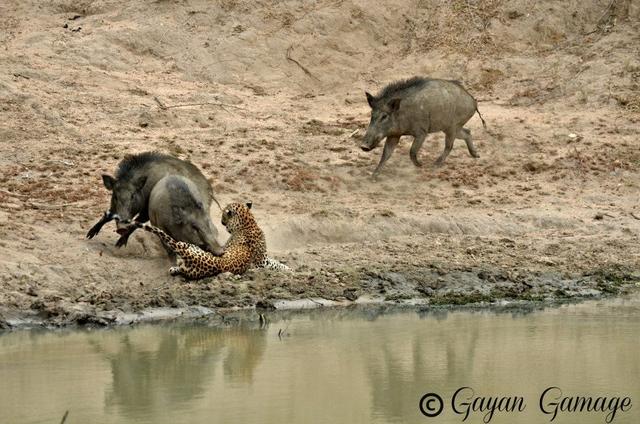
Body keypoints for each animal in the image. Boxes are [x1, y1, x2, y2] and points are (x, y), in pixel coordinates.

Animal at [141, 201, 292, 280]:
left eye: (224, 215)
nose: (220, 221)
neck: (249, 223)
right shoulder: (262, 260)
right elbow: (275, 263)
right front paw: (289, 268)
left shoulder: (262, 260)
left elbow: (275, 263)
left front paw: (288, 269)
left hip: (188, 247)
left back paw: (174, 267)